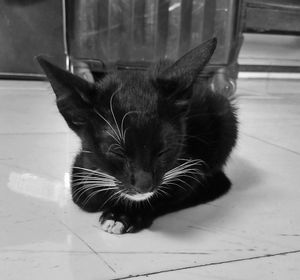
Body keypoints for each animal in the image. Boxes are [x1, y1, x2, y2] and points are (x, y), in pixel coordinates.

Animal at [37, 37, 238, 234]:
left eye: (164, 150)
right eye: (116, 151)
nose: (144, 185)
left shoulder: (190, 164)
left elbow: (172, 192)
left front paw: (122, 216)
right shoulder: (83, 164)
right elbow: (84, 195)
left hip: (224, 115)